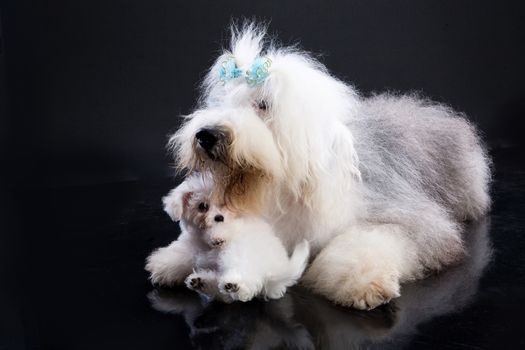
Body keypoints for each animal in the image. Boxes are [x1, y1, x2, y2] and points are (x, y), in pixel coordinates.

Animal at [145, 174, 310, 302]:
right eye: (202, 206)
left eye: (225, 204)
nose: (219, 217)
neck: (203, 241)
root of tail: (279, 272)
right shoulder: (191, 246)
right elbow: (178, 255)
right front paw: (161, 268)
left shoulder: (237, 227)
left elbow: (227, 230)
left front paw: (217, 236)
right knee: (224, 295)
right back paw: (201, 282)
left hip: (240, 256)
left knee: (245, 285)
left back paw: (234, 285)